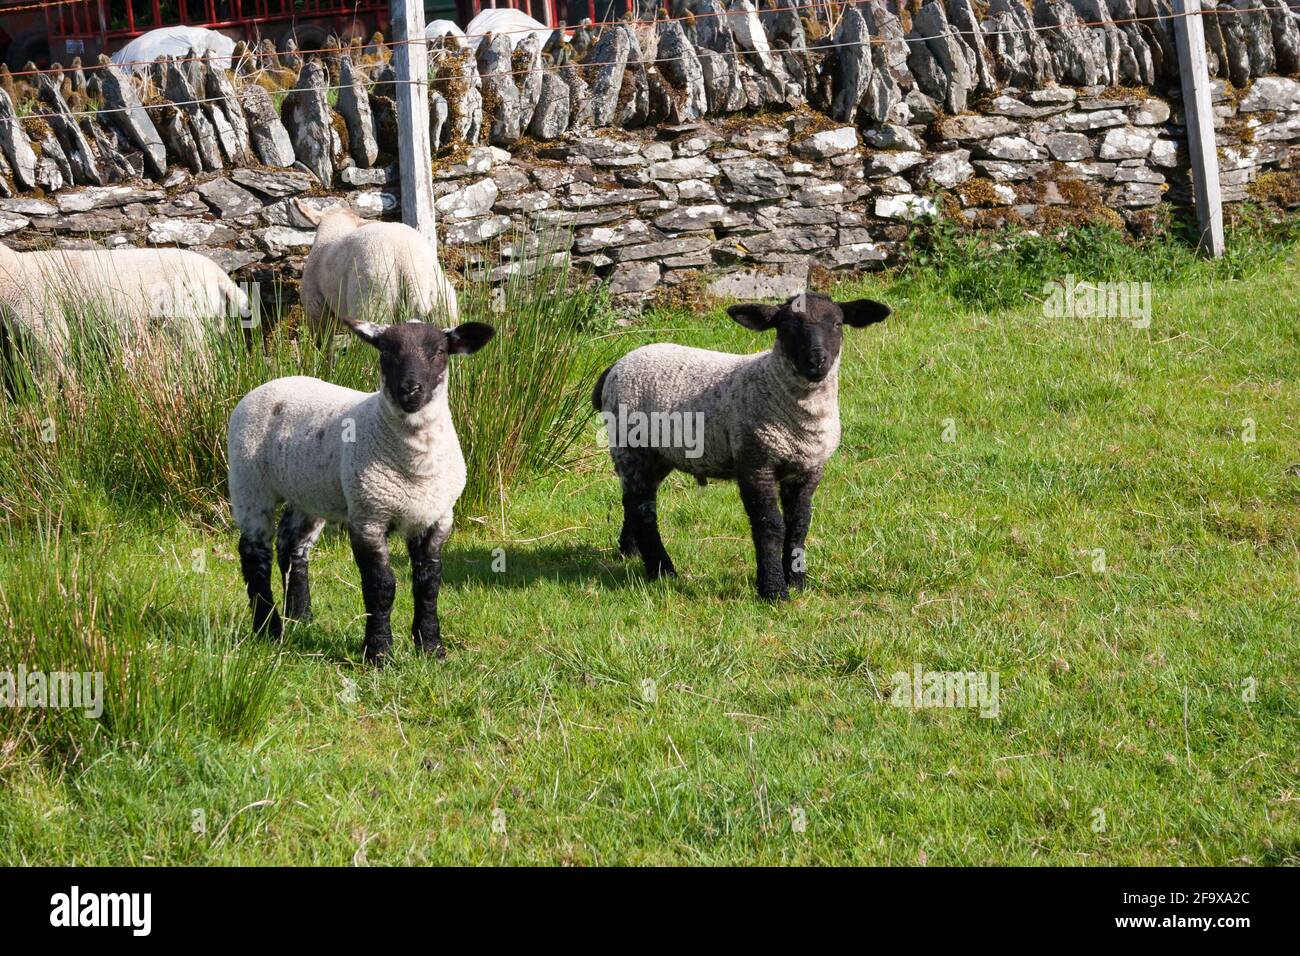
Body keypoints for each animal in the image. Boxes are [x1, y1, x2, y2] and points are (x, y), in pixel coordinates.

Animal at [0, 240, 246, 369]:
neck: (13, 270)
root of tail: (219, 274)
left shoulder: (44, 319)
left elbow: (51, 365)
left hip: (186, 318)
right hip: (209, 320)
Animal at [228, 314, 491, 665]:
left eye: (438, 351)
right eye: (386, 351)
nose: (410, 390)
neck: (415, 463)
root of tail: (271, 383)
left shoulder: (436, 517)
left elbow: (429, 584)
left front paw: (432, 648)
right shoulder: (368, 516)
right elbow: (381, 586)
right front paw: (379, 653)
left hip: (309, 492)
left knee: (292, 546)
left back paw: (300, 616)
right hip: (249, 483)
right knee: (255, 554)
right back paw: (267, 628)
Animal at [592, 295, 889, 600]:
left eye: (837, 323)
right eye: (786, 327)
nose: (817, 360)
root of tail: (615, 366)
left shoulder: (809, 467)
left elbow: (799, 523)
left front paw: (797, 581)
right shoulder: (755, 463)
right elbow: (770, 525)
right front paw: (773, 590)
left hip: (656, 455)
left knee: (631, 499)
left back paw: (630, 551)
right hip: (630, 445)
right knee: (643, 508)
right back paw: (662, 570)